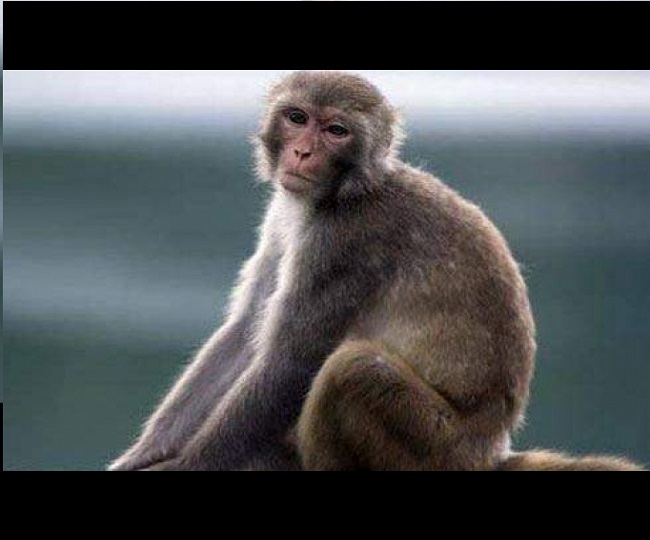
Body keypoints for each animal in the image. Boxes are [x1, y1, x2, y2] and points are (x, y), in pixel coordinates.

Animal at [110, 71, 644, 472]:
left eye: (336, 131)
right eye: (297, 118)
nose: (302, 153)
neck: (343, 192)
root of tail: (491, 453)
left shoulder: (345, 242)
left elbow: (290, 361)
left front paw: (185, 466)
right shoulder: (286, 218)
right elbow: (245, 333)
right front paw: (142, 456)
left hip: (435, 449)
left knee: (354, 369)